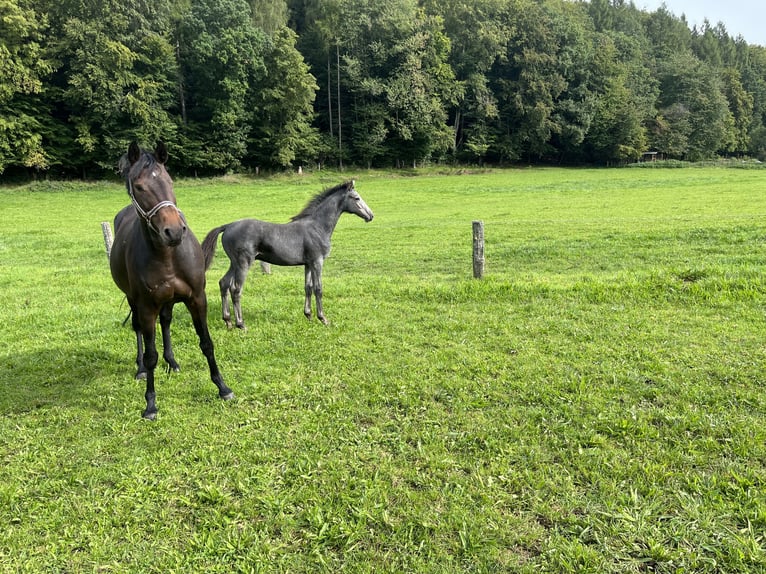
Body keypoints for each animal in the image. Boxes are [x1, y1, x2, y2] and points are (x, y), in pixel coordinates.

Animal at [109, 142, 232, 420]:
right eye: (139, 187)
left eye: (170, 181)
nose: (173, 231)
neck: (168, 256)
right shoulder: (146, 307)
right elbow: (151, 354)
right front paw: (150, 404)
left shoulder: (196, 298)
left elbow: (206, 343)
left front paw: (222, 387)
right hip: (134, 301)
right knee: (138, 330)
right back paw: (141, 369)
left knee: (166, 322)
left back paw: (172, 361)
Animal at [202, 182, 374, 330]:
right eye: (356, 198)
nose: (370, 216)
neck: (317, 227)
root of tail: (228, 226)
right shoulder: (317, 262)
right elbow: (318, 288)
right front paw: (323, 319)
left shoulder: (308, 264)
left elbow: (308, 287)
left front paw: (309, 315)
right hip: (244, 263)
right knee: (236, 290)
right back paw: (241, 324)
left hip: (234, 263)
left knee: (224, 283)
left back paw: (228, 321)